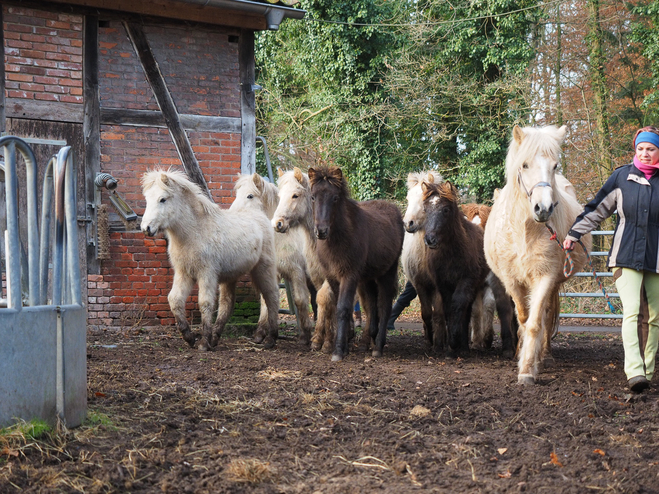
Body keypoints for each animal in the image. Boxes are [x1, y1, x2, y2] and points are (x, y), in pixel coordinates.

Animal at [142, 170, 282, 352]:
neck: (194, 233)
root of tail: (260, 215)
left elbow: (205, 303)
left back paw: (270, 338)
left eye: (163, 199)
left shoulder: (206, 274)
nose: (146, 228)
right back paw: (216, 338)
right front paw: (189, 337)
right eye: (147, 199)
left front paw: (203, 342)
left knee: (271, 296)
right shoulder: (183, 273)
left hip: (263, 268)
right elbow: (174, 300)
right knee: (227, 304)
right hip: (231, 276)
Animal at [231, 174, 316, 348]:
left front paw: (304, 336)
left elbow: (300, 301)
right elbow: (268, 299)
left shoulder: (297, 273)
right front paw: (264, 335)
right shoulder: (272, 273)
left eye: (250, 196)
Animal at [310, 167, 408, 362]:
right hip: (369, 278)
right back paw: (371, 338)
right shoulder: (332, 277)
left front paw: (338, 351)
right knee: (371, 305)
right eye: (313, 197)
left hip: (387, 273)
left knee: (384, 304)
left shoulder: (349, 275)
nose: (321, 231)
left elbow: (343, 308)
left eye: (335, 198)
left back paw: (378, 346)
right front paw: (345, 346)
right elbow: (340, 307)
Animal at [422, 181, 490, 356]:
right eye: (425, 209)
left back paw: (463, 345)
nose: (430, 239)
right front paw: (451, 345)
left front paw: (455, 341)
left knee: (466, 310)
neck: (451, 254)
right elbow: (448, 308)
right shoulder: (443, 284)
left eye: (446, 210)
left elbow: (458, 305)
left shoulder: (467, 281)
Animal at [484, 124, 592, 386]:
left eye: (554, 165)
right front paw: (522, 357)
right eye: (524, 165)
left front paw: (527, 369)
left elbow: (535, 323)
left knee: (547, 314)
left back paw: (545, 356)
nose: (543, 209)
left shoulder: (545, 278)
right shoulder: (513, 282)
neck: (524, 231)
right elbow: (523, 320)